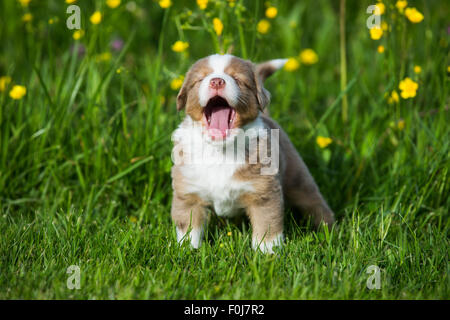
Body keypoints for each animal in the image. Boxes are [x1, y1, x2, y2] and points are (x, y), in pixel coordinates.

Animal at [171, 54, 336, 252]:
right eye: (200, 79)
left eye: (238, 79)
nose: (216, 81)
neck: (221, 151)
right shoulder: (188, 191)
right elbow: (189, 226)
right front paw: (187, 250)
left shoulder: (264, 193)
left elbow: (267, 225)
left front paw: (267, 253)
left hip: (297, 177)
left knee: (313, 201)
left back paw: (329, 231)